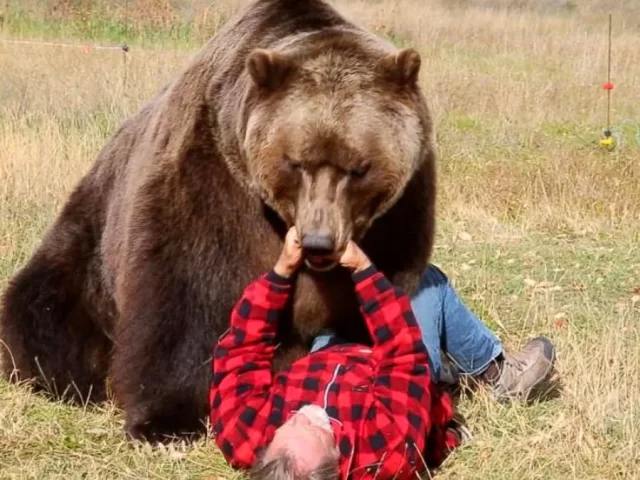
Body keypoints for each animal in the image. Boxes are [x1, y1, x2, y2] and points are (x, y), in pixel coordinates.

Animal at [0, 0, 436, 444]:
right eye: (296, 162)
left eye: (359, 168)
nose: (319, 242)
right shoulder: (211, 182)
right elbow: (185, 295)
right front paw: (165, 420)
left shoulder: (397, 220)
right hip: (90, 244)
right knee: (44, 308)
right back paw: (67, 378)